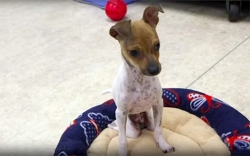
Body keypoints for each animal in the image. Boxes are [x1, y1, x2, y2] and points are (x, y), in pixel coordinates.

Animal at [105, 4, 174, 156]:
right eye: (134, 52)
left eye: (158, 45)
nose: (155, 70)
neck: (141, 81)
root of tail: (140, 122)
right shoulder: (121, 113)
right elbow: (122, 141)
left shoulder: (158, 104)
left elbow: (158, 130)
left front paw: (163, 145)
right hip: (131, 129)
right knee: (119, 129)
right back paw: (112, 125)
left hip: (150, 119)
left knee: (152, 128)